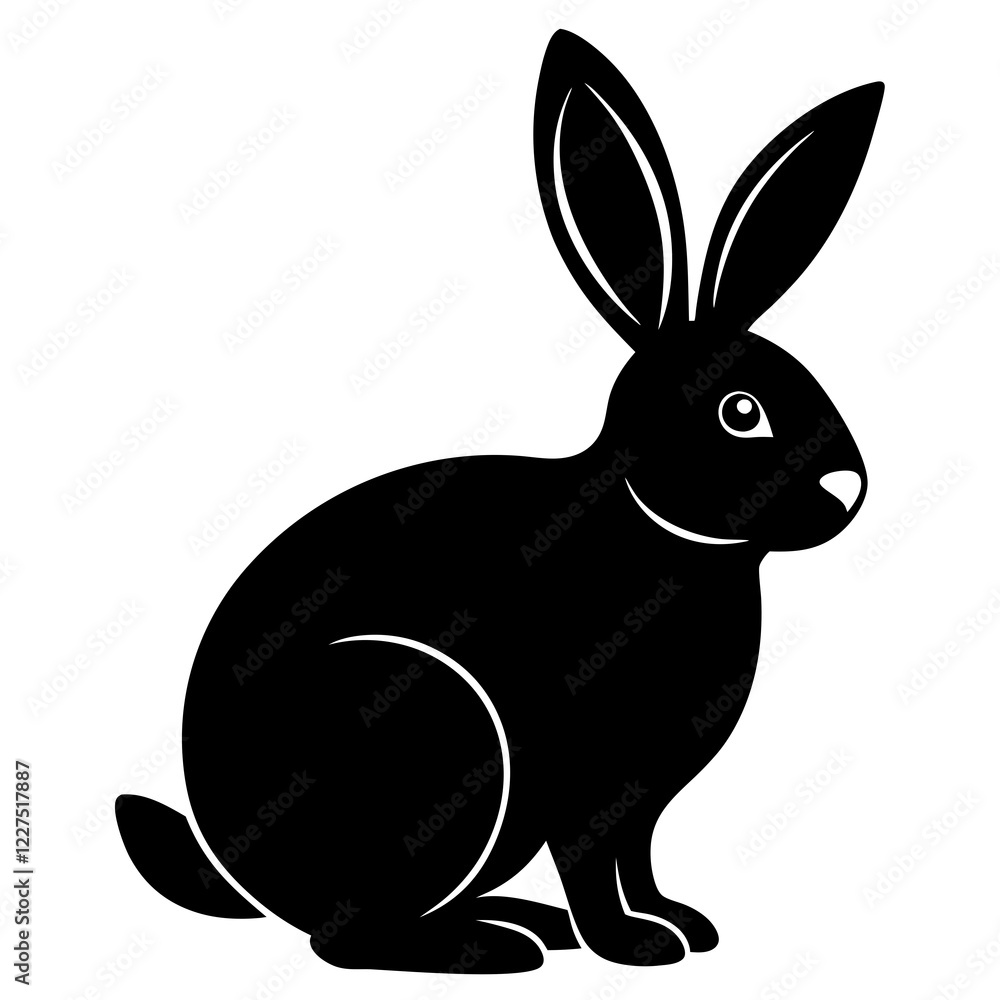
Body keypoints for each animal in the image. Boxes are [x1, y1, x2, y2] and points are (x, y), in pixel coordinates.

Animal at [116, 30, 882, 974]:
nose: (847, 488)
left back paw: (520, 924)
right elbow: (594, 860)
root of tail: (242, 872)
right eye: (741, 412)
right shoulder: (586, 778)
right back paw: (488, 948)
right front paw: (635, 946)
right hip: (422, 736)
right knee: (344, 939)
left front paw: (680, 925)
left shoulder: (640, 798)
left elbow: (637, 857)